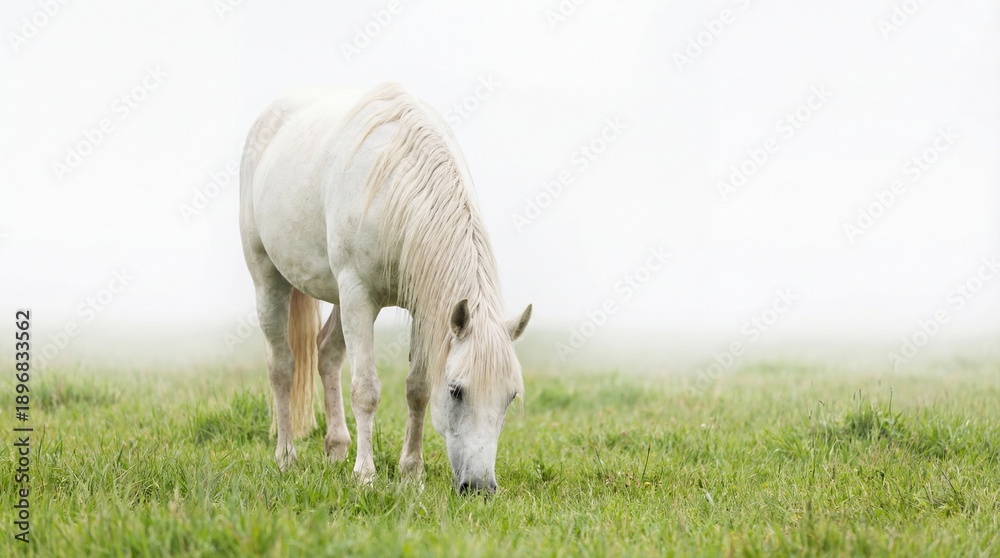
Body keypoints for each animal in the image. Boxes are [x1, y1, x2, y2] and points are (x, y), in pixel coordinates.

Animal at [239, 82, 532, 494]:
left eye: (509, 397)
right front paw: (365, 475)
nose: (480, 488)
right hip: (269, 279)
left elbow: (418, 389)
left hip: (338, 297)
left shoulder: (424, 307)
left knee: (326, 354)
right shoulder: (359, 295)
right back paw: (286, 457)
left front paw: (412, 470)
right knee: (282, 366)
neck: (395, 185)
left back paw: (336, 447)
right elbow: (366, 390)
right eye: (456, 390)